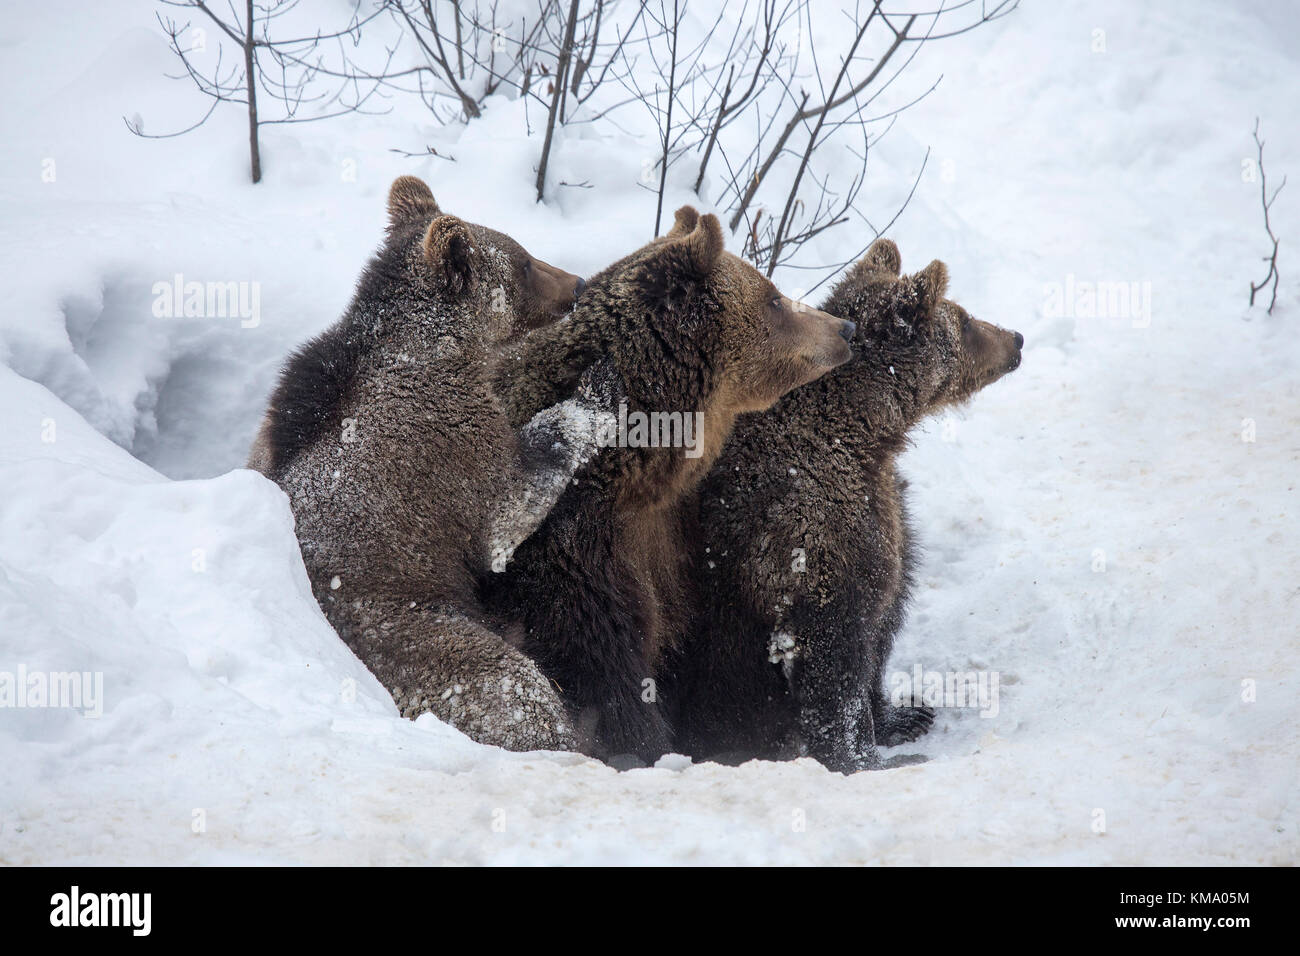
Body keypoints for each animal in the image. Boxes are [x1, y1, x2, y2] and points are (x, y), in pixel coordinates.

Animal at [244, 175, 598, 749]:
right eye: (523, 261)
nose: (578, 284)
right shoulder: (447, 449)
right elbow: (508, 510)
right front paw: (596, 397)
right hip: (405, 629)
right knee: (512, 686)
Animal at [483, 205, 857, 764]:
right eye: (772, 297)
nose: (844, 327)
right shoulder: (571, 552)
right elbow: (605, 670)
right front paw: (645, 742)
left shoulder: (677, 542)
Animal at [670, 240, 1024, 780]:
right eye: (963, 319)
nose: (1016, 338)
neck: (863, 439)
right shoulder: (808, 534)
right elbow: (835, 654)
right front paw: (862, 758)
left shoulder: (882, 507)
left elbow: (886, 614)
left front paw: (905, 714)